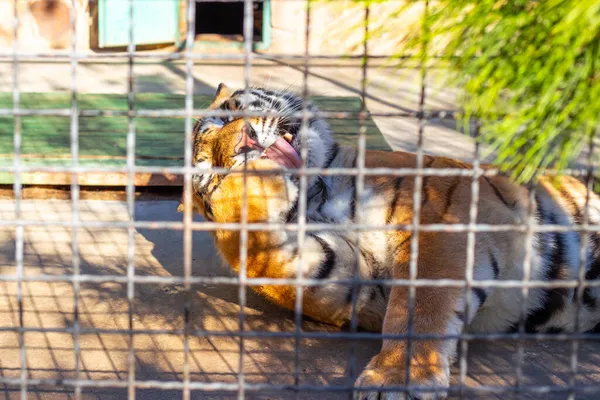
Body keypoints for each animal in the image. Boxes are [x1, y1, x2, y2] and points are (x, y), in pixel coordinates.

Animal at [178, 83, 600, 398]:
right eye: (210, 170)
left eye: (231, 112)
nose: (244, 142)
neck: (318, 190)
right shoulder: (357, 281)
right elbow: (267, 263)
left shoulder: (444, 218)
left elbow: (421, 305)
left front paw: (396, 381)